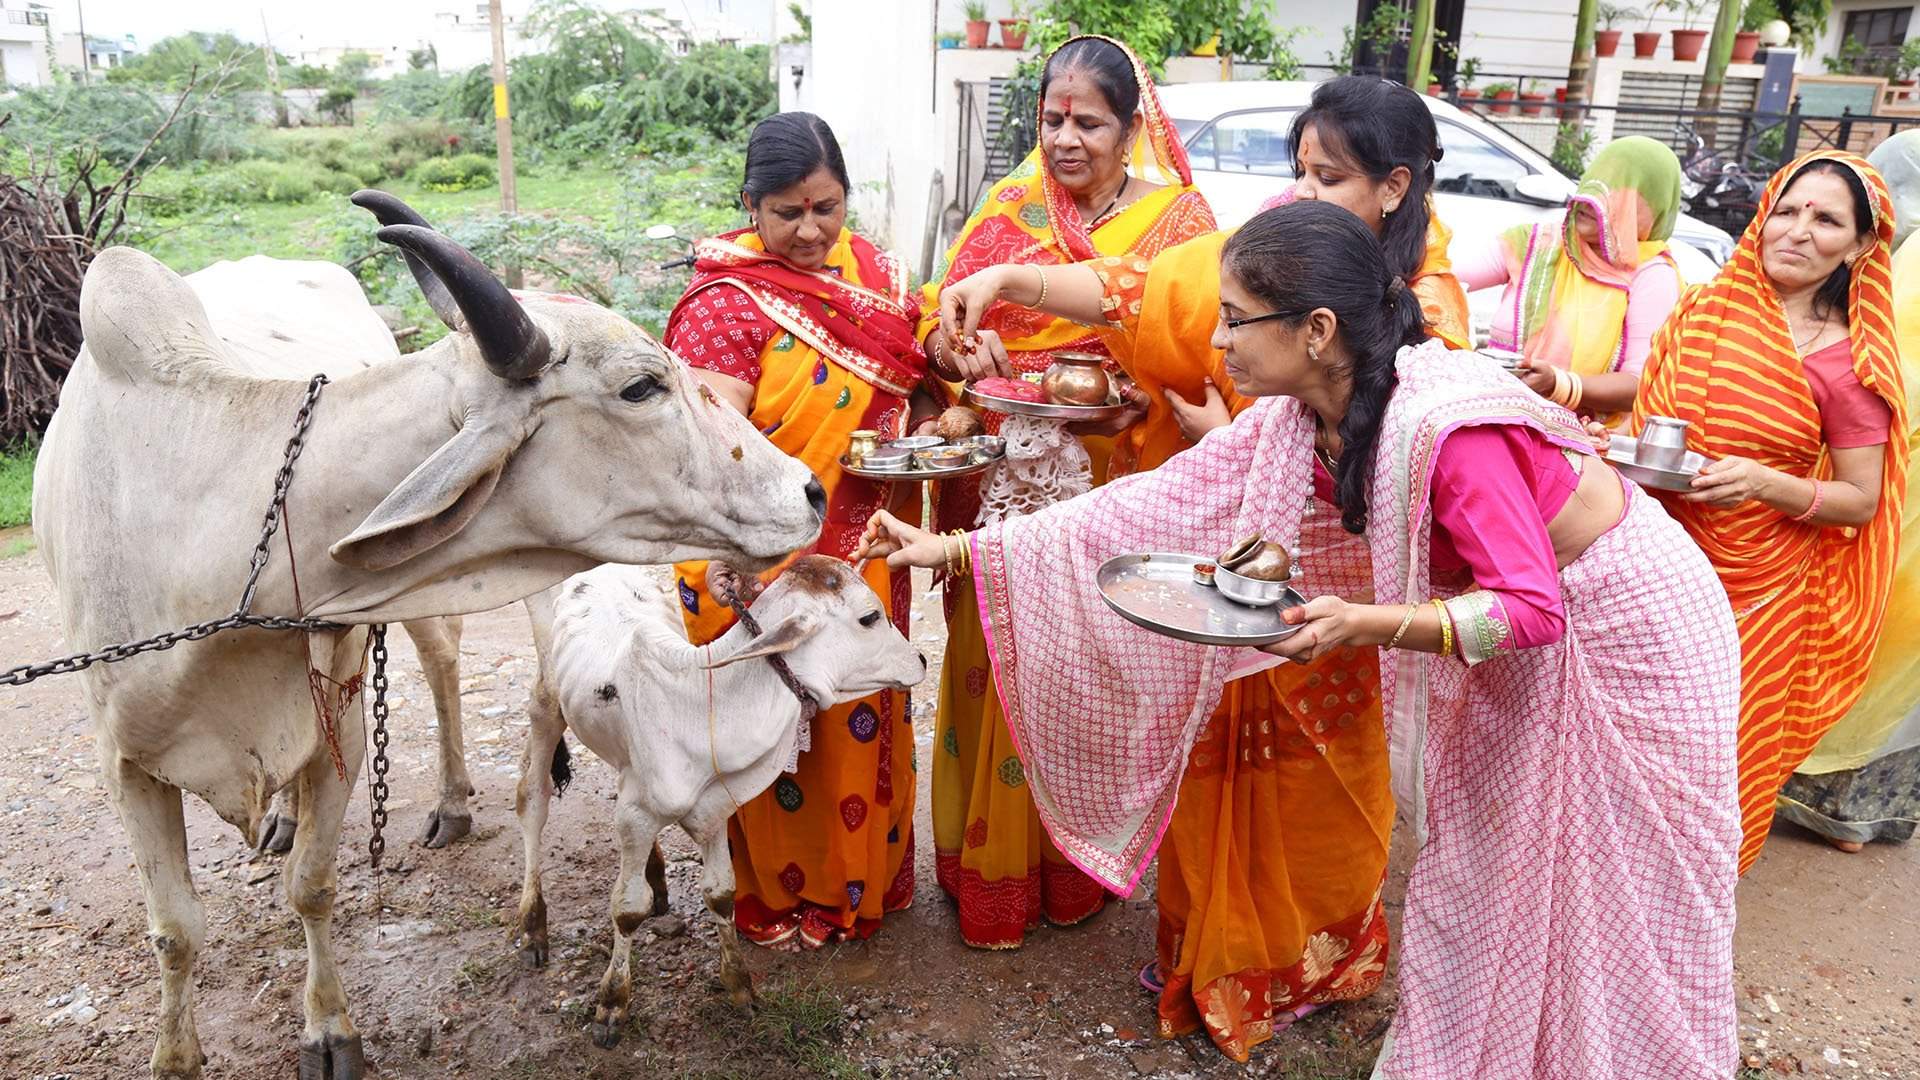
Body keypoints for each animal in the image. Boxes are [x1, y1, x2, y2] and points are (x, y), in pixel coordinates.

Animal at [28, 195, 825, 1076]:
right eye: (641, 386)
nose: (810, 491)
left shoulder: (336, 724)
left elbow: (311, 885)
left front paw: (330, 1029)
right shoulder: (125, 762)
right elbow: (173, 932)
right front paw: (176, 1055)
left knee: (441, 661)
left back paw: (449, 803)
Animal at [510, 553, 929, 1045]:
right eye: (869, 618)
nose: (921, 659)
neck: (702, 704)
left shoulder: (713, 810)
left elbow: (721, 895)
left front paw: (740, 987)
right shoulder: (634, 816)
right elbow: (627, 910)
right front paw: (612, 1004)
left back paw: (656, 876)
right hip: (546, 703)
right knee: (532, 801)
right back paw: (534, 926)